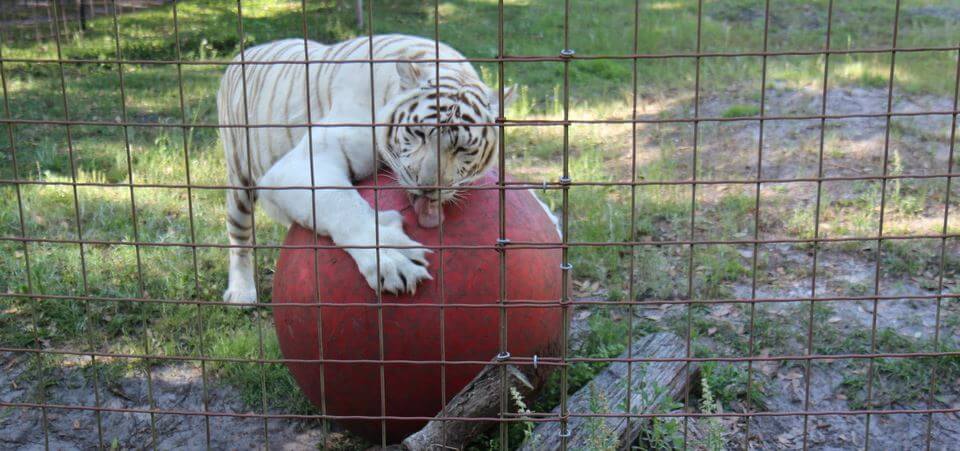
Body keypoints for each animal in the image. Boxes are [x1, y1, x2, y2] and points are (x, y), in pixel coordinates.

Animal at [218, 35, 516, 304]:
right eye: (419, 133)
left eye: (462, 148)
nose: (428, 186)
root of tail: (247, 51)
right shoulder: (302, 163)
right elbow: (340, 204)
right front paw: (392, 258)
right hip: (238, 177)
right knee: (238, 237)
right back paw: (241, 293)